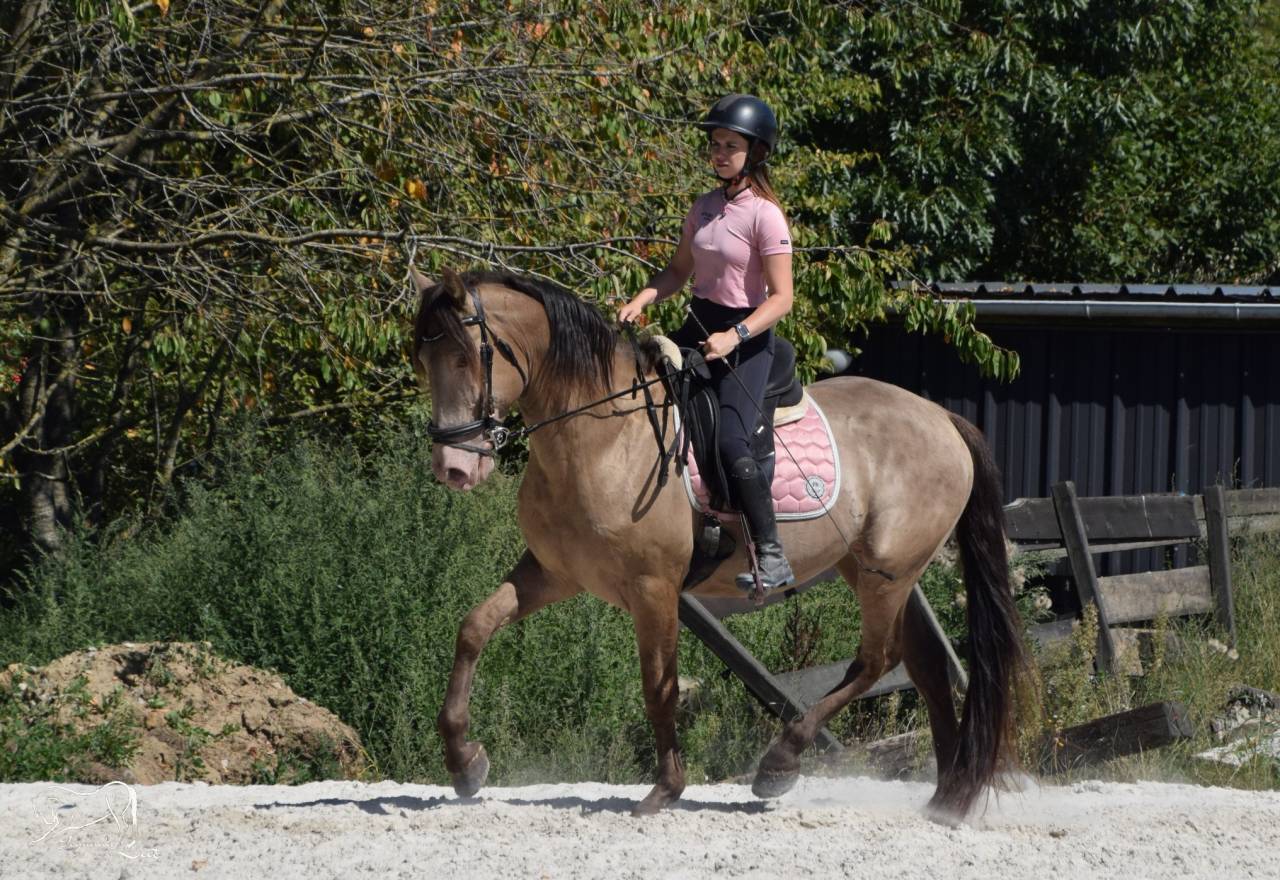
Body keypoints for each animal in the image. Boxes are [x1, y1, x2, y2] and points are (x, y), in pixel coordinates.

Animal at [410, 265, 1027, 819]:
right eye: (422, 362)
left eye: (466, 357)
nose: (453, 469)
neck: (602, 437)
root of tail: (942, 417)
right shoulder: (553, 573)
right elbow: (473, 628)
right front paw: (464, 763)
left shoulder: (654, 588)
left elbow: (658, 685)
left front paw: (665, 789)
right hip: (879, 571)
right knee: (925, 664)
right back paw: (946, 800)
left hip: (888, 571)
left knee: (879, 661)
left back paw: (780, 764)